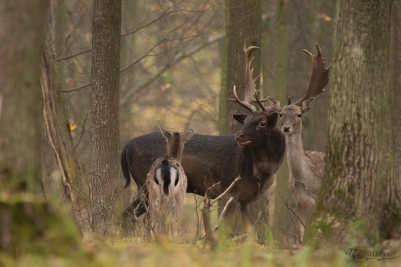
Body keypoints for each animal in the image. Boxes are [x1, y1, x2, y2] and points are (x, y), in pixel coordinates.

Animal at [121, 45, 284, 237]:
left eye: (262, 122)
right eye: (245, 121)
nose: (239, 136)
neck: (261, 172)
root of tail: (127, 145)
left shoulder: (249, 198)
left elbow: (251, 234)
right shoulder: (229, 190)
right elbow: (225, 231)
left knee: (128, 213)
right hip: (144, 182)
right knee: (141, 215)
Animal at [266, 44, 332, 245]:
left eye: (299, 114)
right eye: (280, 114)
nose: (286, 128)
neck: (304, 180)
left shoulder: (319, 199)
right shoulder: (298, 201)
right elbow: (300, 233)